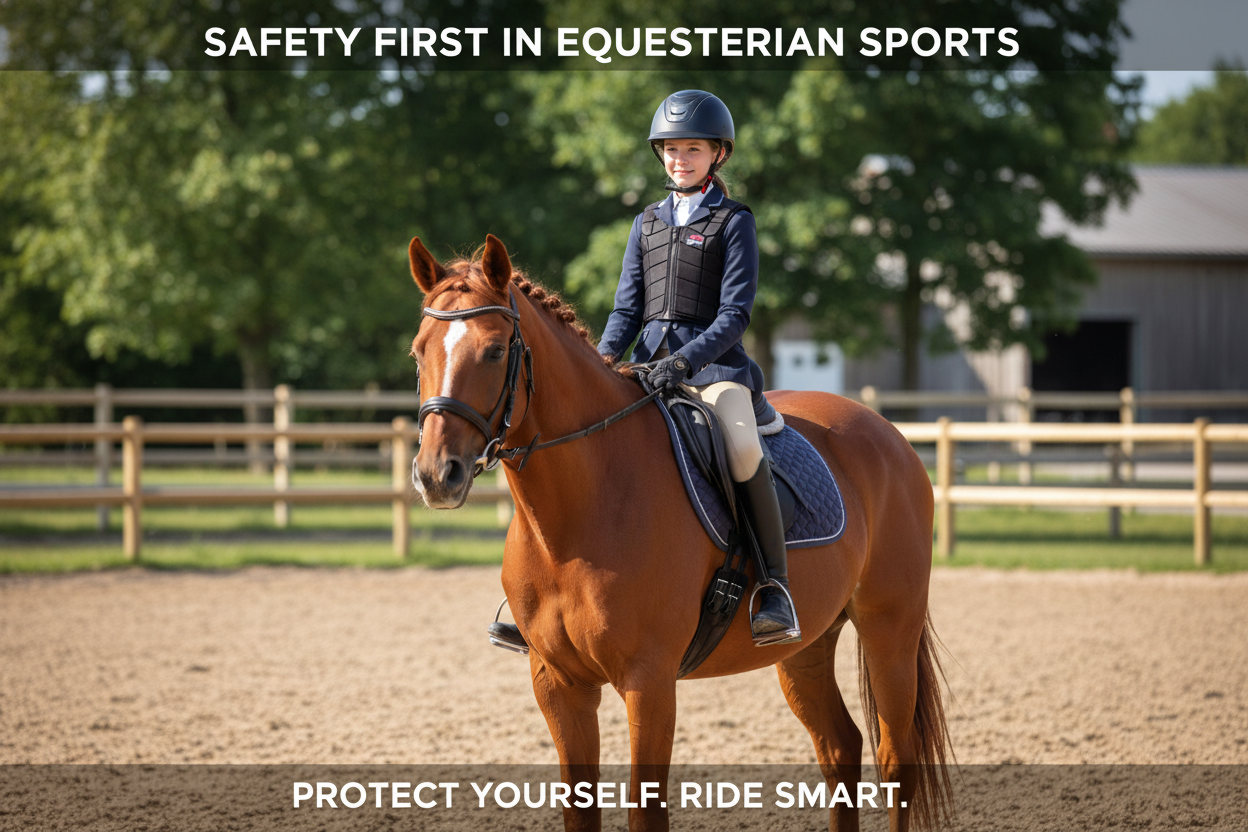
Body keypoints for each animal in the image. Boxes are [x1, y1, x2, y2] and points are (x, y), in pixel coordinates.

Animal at [407, 233, 954, 832]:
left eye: (495, 351)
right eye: (418, 352)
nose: (436, 475)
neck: (582, 511)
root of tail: (890, 435)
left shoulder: (648, 682)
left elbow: (646, 811)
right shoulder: (558, 683)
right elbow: (579, 808)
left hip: (889, 629)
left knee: (895, 758)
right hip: (807, 643)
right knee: (839, 745)